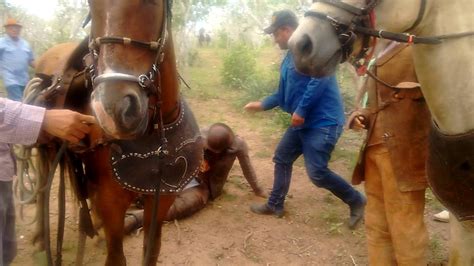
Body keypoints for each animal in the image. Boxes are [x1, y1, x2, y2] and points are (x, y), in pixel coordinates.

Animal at [27, 0, 202, 266]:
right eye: (91, 5)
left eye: (152, 3)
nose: (111, 109)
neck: (153, 137)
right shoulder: (112, 201)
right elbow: (116, 257)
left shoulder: (162, 199)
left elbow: (151, 251)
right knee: (42, 179)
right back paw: (39, 234)